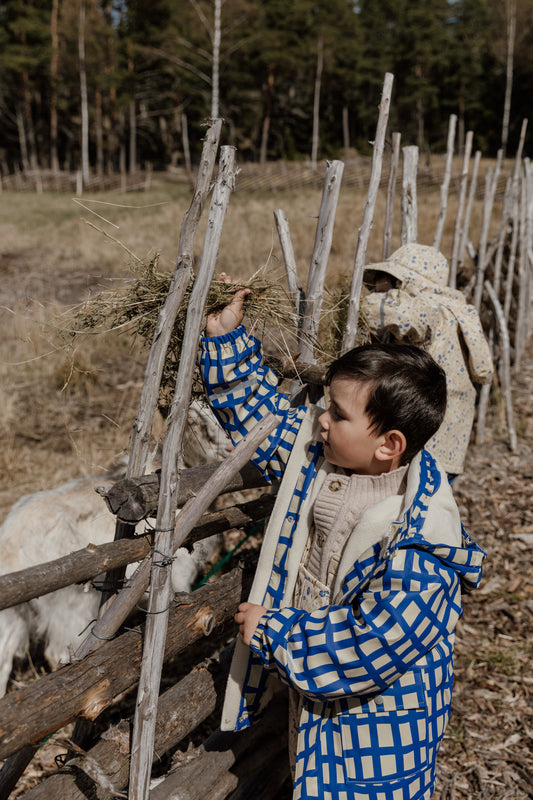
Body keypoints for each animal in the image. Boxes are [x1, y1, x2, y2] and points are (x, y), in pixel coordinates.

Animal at [0, 404, 231, 696]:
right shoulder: (176, 574)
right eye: (203, 425)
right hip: (68, 602)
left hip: (14, 615)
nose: (230, 447)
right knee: (58, 652)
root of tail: (10, 543)